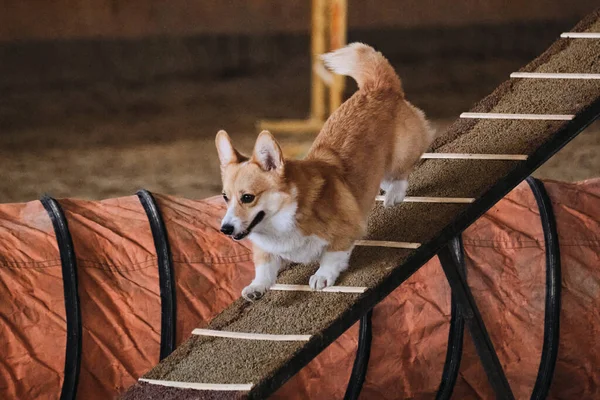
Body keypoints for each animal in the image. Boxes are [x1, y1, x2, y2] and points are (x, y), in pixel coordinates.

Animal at [216, 43, 436, 300]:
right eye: (225, 197)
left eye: (248, 197)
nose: (224, 229)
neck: (283, 215)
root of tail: (379, 87)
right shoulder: (265, 250)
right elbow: (264, 267)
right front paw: (256, 287)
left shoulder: (345, 230)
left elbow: (332, 255)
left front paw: (322, 276)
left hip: (399, 157)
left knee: (401, 174)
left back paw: (394, 195)